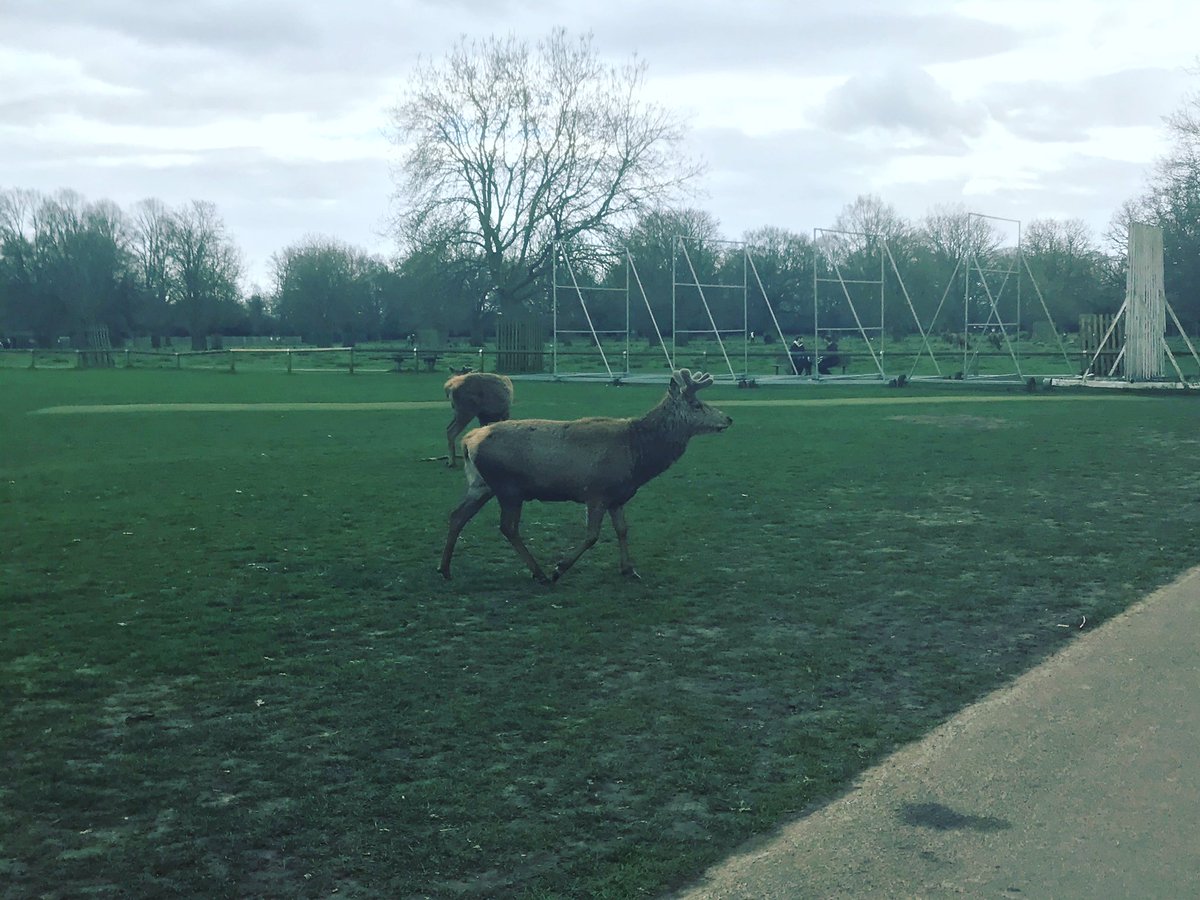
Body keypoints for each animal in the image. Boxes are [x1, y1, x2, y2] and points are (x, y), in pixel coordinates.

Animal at [437, 369, 732, 583]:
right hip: (509, 487)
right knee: (507, 527)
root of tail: (469, 442)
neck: (638, 458)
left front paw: (629, 569)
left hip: (482, 484)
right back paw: (540, 572)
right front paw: (560, 567)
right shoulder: (596, 491)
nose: (728, 419)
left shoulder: (617, 497)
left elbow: (623, 530)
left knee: (457, 515)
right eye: (696, 404)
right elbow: (592, 536)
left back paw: (445, 568)